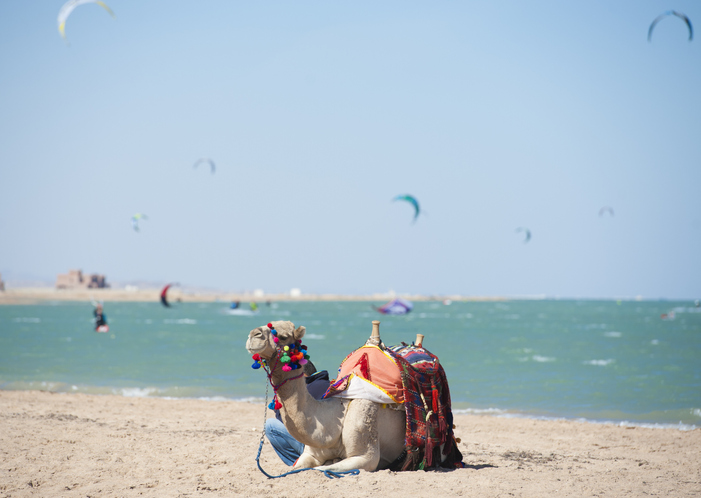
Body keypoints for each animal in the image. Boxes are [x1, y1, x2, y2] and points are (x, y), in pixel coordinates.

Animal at [247, 320, 404, 472]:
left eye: (283, 336)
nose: (254, 334)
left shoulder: (365, 457)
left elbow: (320, 469)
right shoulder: (310, 454)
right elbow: (294, 469)